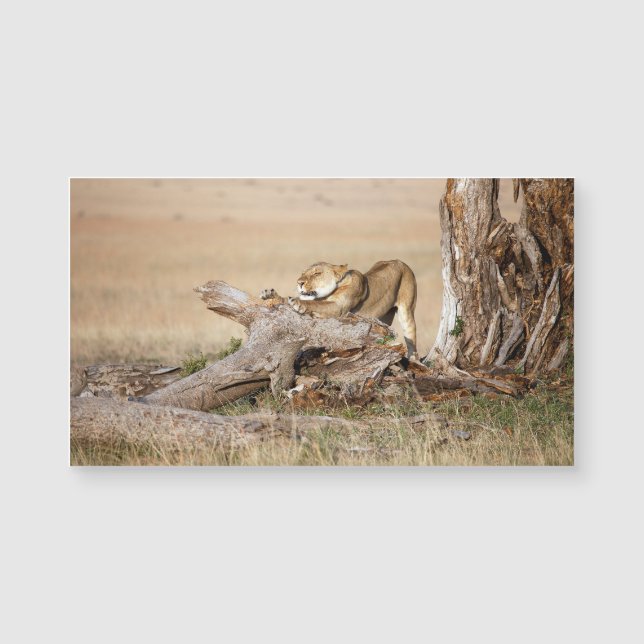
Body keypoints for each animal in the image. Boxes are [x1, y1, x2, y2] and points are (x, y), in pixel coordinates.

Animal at [260, 259, 418, 358]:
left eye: (317, 273)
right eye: (303, 273)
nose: (299, 282)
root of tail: (399, 261)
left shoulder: (339, 308)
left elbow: (315, 304)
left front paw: (298, 303)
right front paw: (270, 295)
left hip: (407, 312)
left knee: (412, 342)